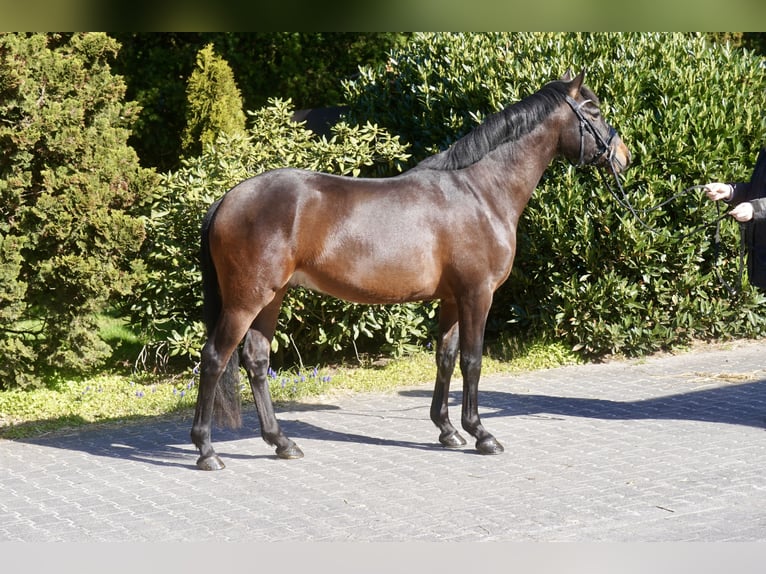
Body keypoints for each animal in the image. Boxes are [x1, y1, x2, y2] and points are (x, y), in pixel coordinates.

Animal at [191, 69, 631, 470]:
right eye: (593, 110)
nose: (624, 157)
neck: (481, 192)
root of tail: (228, 199)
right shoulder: (477, 294)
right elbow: (473, 360)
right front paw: (481, 434)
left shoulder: (452, 298)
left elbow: (446, 357)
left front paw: (448, 431)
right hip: (246, 300)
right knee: (214, 358)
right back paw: (207, 451)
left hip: (271, 297)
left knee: (256, 361)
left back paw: (282, 442)